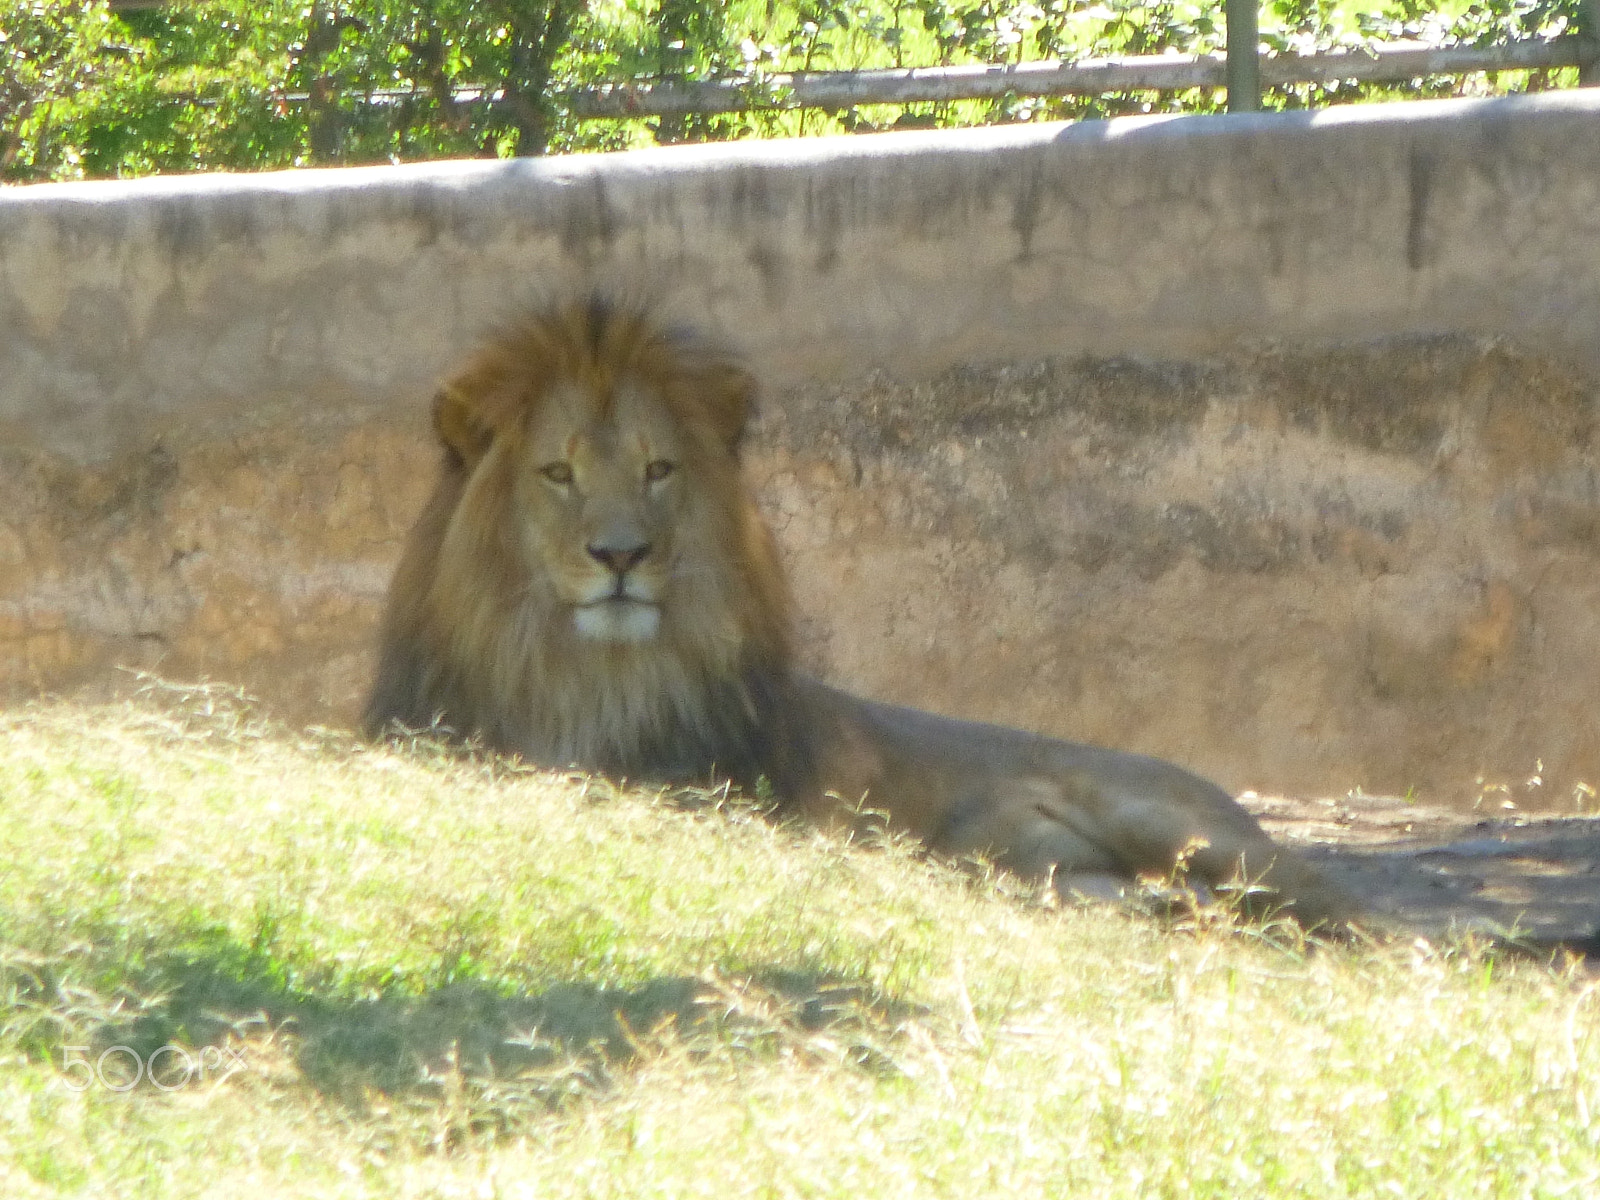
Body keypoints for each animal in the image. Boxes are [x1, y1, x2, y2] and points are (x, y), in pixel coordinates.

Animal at [363, 297, 1355, 929]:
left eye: (657, 470)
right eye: (558, 473)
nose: (621, 557)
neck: (586, 678)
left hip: (1174, 820)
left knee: (1334, 902)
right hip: (1012, 868)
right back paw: (1167, 906)